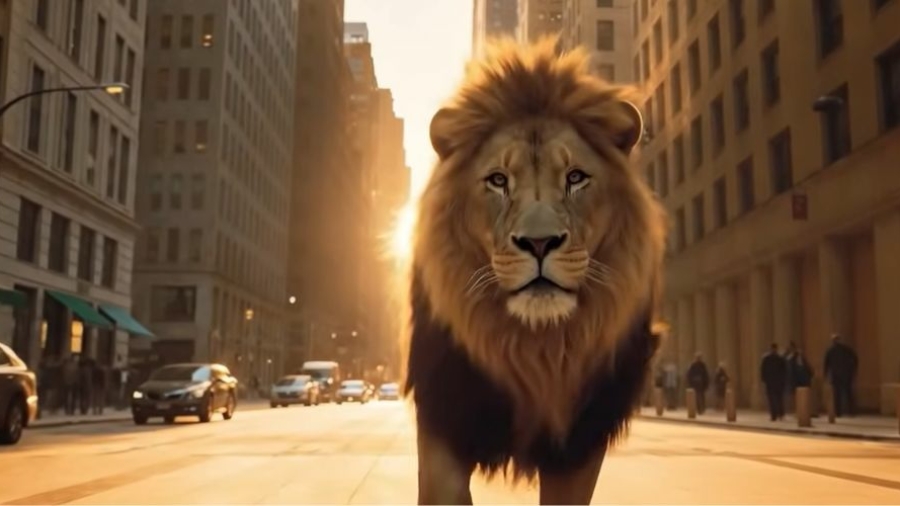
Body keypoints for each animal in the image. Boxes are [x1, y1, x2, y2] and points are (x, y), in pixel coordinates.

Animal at [403, 37, 667, 505]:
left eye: (576, 178)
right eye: (497, 180)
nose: (540, 243)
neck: (535, 350)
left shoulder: (580, 444)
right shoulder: (444, 415)